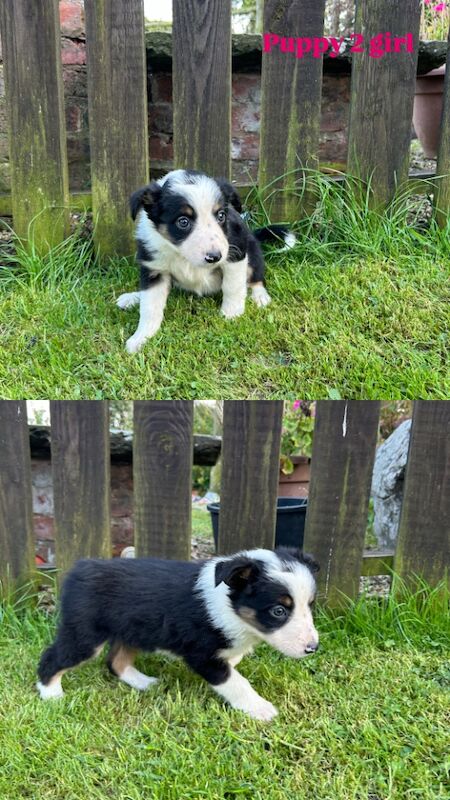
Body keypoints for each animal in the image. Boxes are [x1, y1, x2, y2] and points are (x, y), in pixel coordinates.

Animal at [37, 548, 320, 720]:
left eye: (310, 604)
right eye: (279, 611)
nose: (313, 648)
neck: (230, 606)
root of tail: (81, 566)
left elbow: (234, 661)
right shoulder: (201, 654)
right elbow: (235, 681)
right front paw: (260, 709)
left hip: (132, 630)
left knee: (115, 662)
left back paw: (143, 682)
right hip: (85, 634)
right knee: (51, 658)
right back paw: (51, 695)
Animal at [116, 170, 292, 354]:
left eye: (221, 215)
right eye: (183, 221)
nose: (214, 257)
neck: (182, 254)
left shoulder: (235, 253)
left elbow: (233, 287)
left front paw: (232, 313)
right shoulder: (153, 268)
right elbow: (150, 306)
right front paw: (141, 338)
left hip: (252, 250)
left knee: (256, 278)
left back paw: (260, 297)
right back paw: (132, 298)